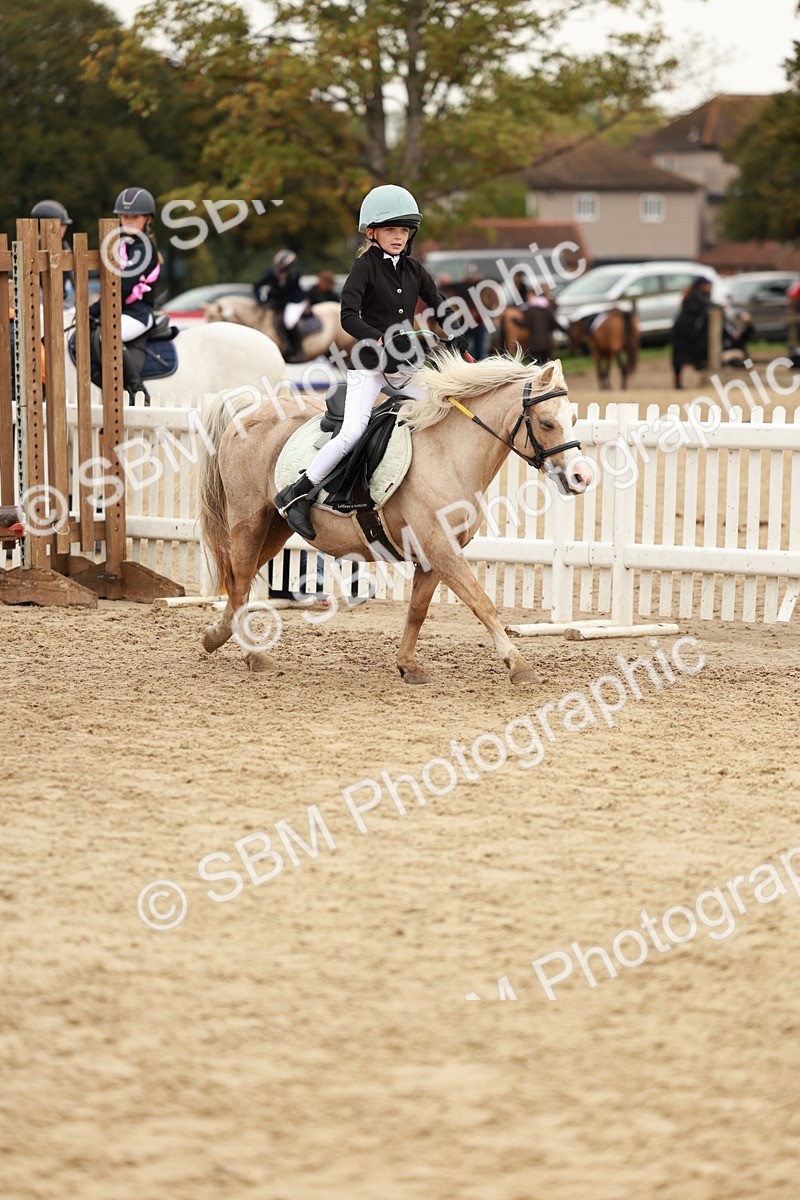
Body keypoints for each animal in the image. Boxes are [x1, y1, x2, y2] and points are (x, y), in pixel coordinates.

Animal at [197, 353, 592, 683]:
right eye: (546, 423)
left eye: (573, 419)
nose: (581, 478)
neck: (449, 453)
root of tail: (247, 410)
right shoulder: (442, 549)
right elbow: (482, 603)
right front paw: (518, 665)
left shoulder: (433, 557)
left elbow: (417, 610)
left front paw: (407, 665)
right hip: (248, 523)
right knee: (239, 584)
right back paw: (253, 655)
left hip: (276, 528)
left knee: (239, 583)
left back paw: (216, 636)